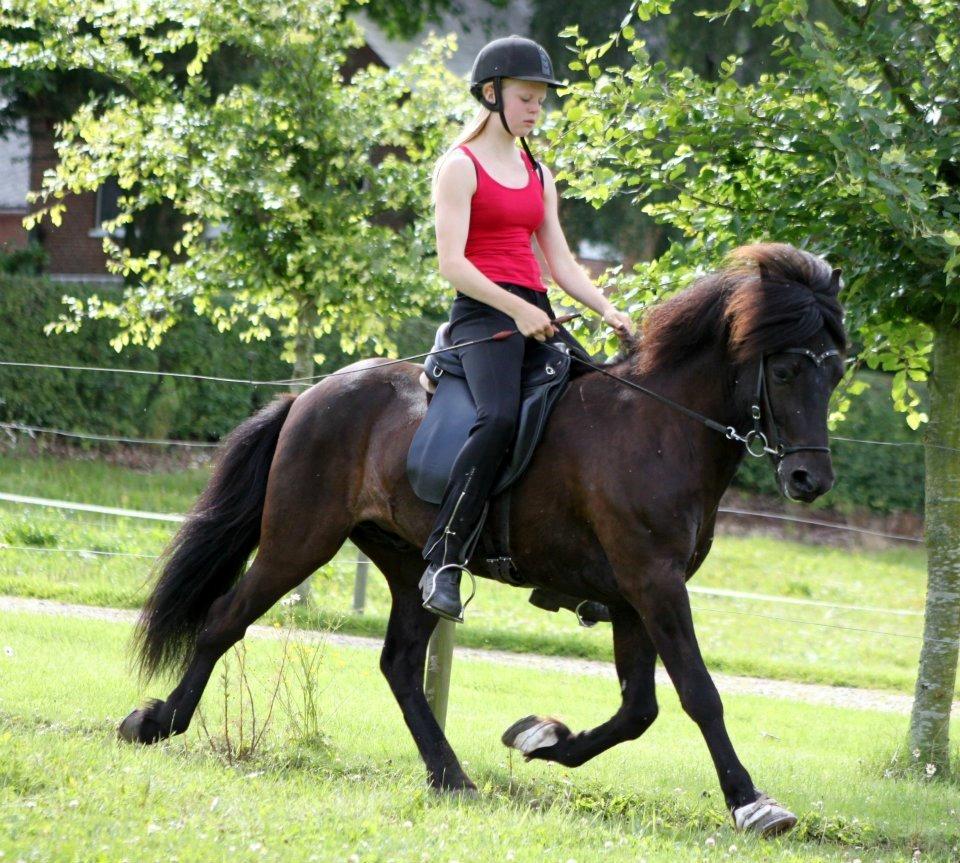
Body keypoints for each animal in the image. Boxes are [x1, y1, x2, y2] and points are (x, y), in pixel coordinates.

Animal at [116, 241, 844, 836]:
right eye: (784, 371)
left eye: (836, 373)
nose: (809, 478)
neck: (660, 425)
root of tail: (311, 395)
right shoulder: (653, 582)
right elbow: (698, 693)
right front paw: (752, 803)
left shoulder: (636, 593)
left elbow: (638, 709)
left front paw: (539, 737)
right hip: (299, 538)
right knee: (224, 619)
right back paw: (155, 721)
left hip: (406, 560)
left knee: (400, 664)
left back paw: (451, 776)